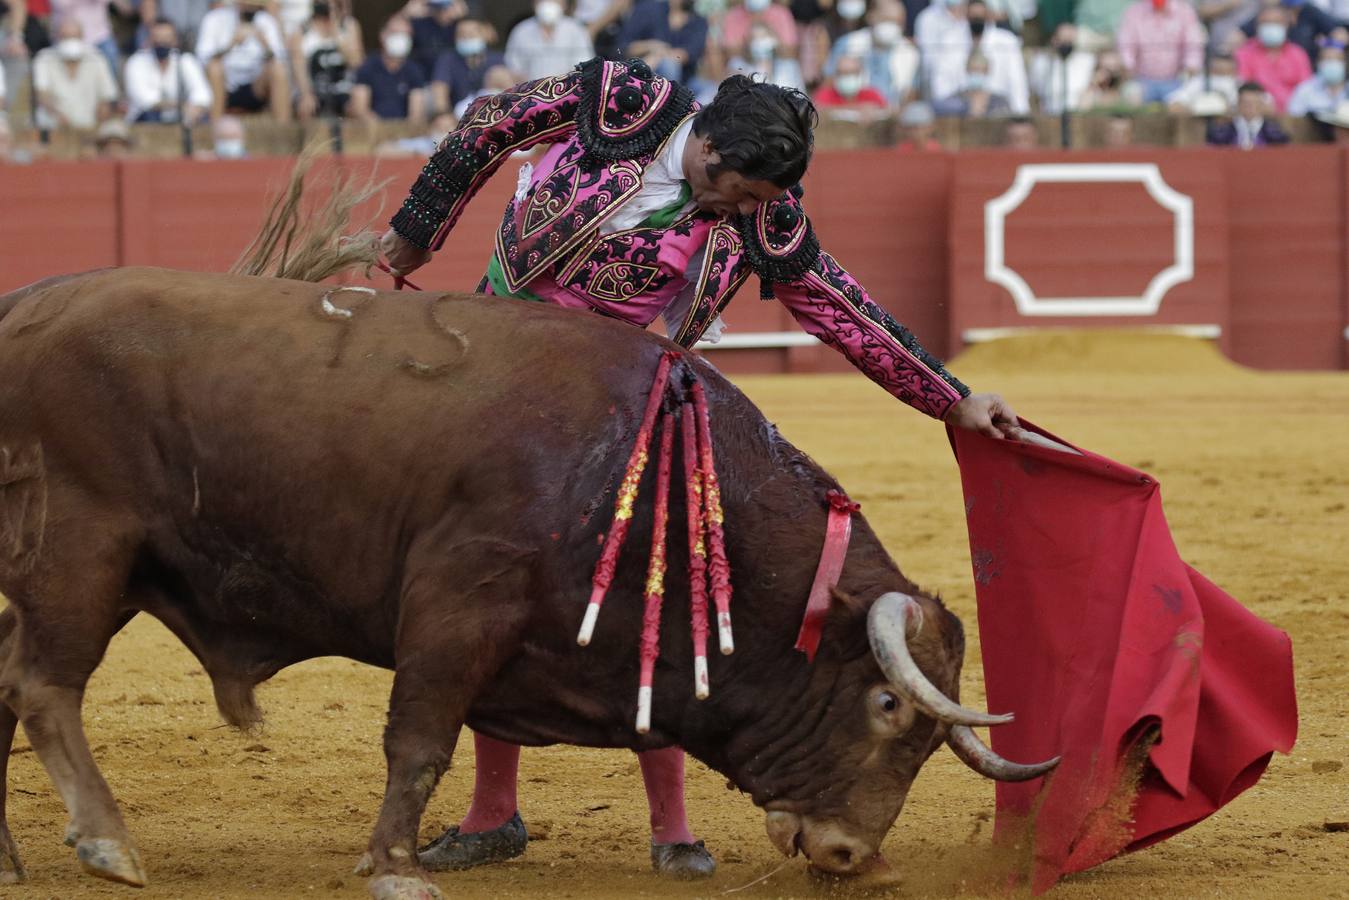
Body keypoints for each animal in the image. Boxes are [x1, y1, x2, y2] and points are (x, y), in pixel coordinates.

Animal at [0, 264, 1052, 895]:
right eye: (885, 705)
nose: (849, 855)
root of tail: (28, 303)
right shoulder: (458, 604)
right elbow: (419, 742)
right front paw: (395, 865)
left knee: (10, 690)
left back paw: (11, 855)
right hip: (83, 547)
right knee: (44, 688)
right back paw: (108, 843)